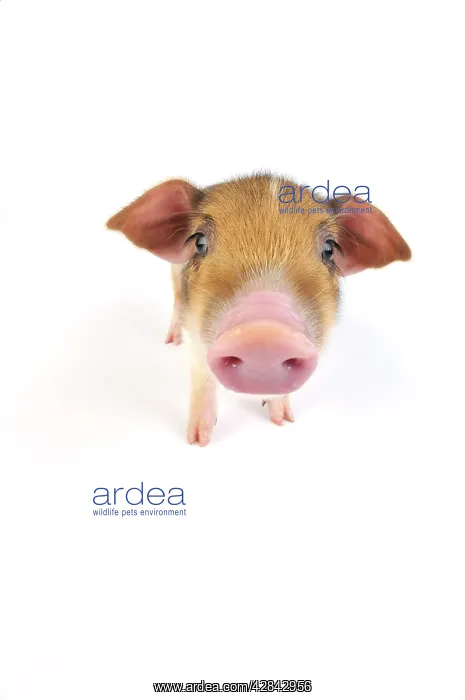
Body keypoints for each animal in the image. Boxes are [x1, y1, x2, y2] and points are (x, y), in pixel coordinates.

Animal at [106, 174, 411, 445]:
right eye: (200, 242)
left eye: (328, 249)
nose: (265, 331)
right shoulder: (195, 329)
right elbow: (202, 375)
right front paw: (197, 441)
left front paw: (284, 421)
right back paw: (171, 340)